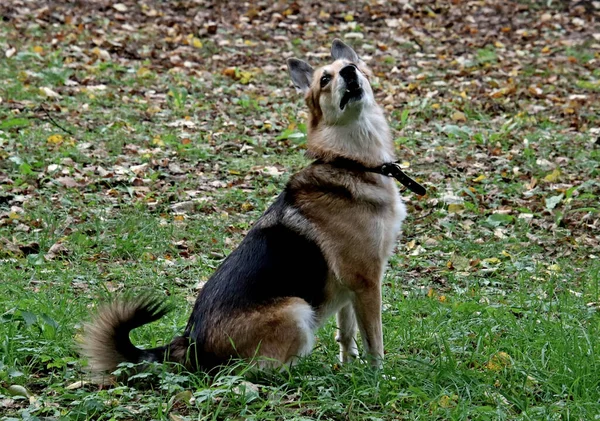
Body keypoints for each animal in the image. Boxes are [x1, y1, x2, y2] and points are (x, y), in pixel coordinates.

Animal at [79, 39, 408, 372]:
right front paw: (378, 376)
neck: (349, 162)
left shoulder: (350, 288)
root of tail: (190, 344)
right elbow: (374, 342)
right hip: (297, 310)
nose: (349, 72)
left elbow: (347, 334)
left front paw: (350, 368)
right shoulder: (367, 282)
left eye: (349, 67)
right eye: (325, 79)